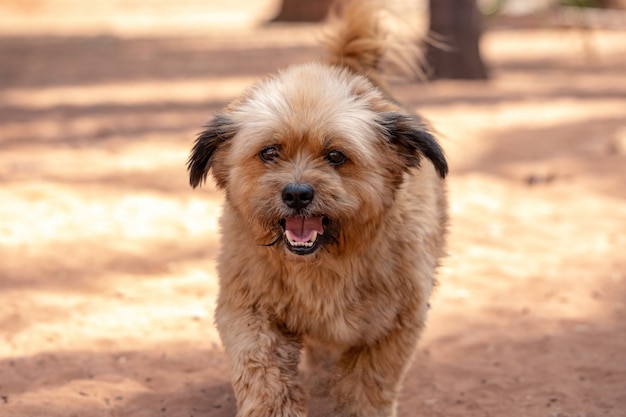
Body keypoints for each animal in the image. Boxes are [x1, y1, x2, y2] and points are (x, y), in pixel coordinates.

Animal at [188, 1, 446, 414]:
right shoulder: (249, 309)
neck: (325, 265)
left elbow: (367, 385)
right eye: (270, 152)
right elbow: (262, 371)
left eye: (336, 155)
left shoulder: (394, 326)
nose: (296, 194)